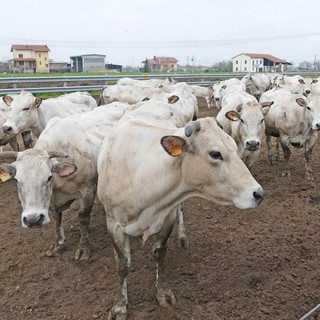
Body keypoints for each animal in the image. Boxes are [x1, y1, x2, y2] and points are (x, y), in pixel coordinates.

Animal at [0, 102, 130, 260]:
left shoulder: (88, 188)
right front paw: (58, 244)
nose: (33, 220)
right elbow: (56, 218)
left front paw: (84, 248)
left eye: (48, 177)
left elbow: (83, 217)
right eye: (17, 180)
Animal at [97, 110, 264, 318]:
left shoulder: (168, 216)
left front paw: (163, 293)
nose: (258, 193)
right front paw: (119, 305)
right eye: (215, 153)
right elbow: (123, 265)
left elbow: (160, 255)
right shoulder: (113, 224)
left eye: (234, 146)